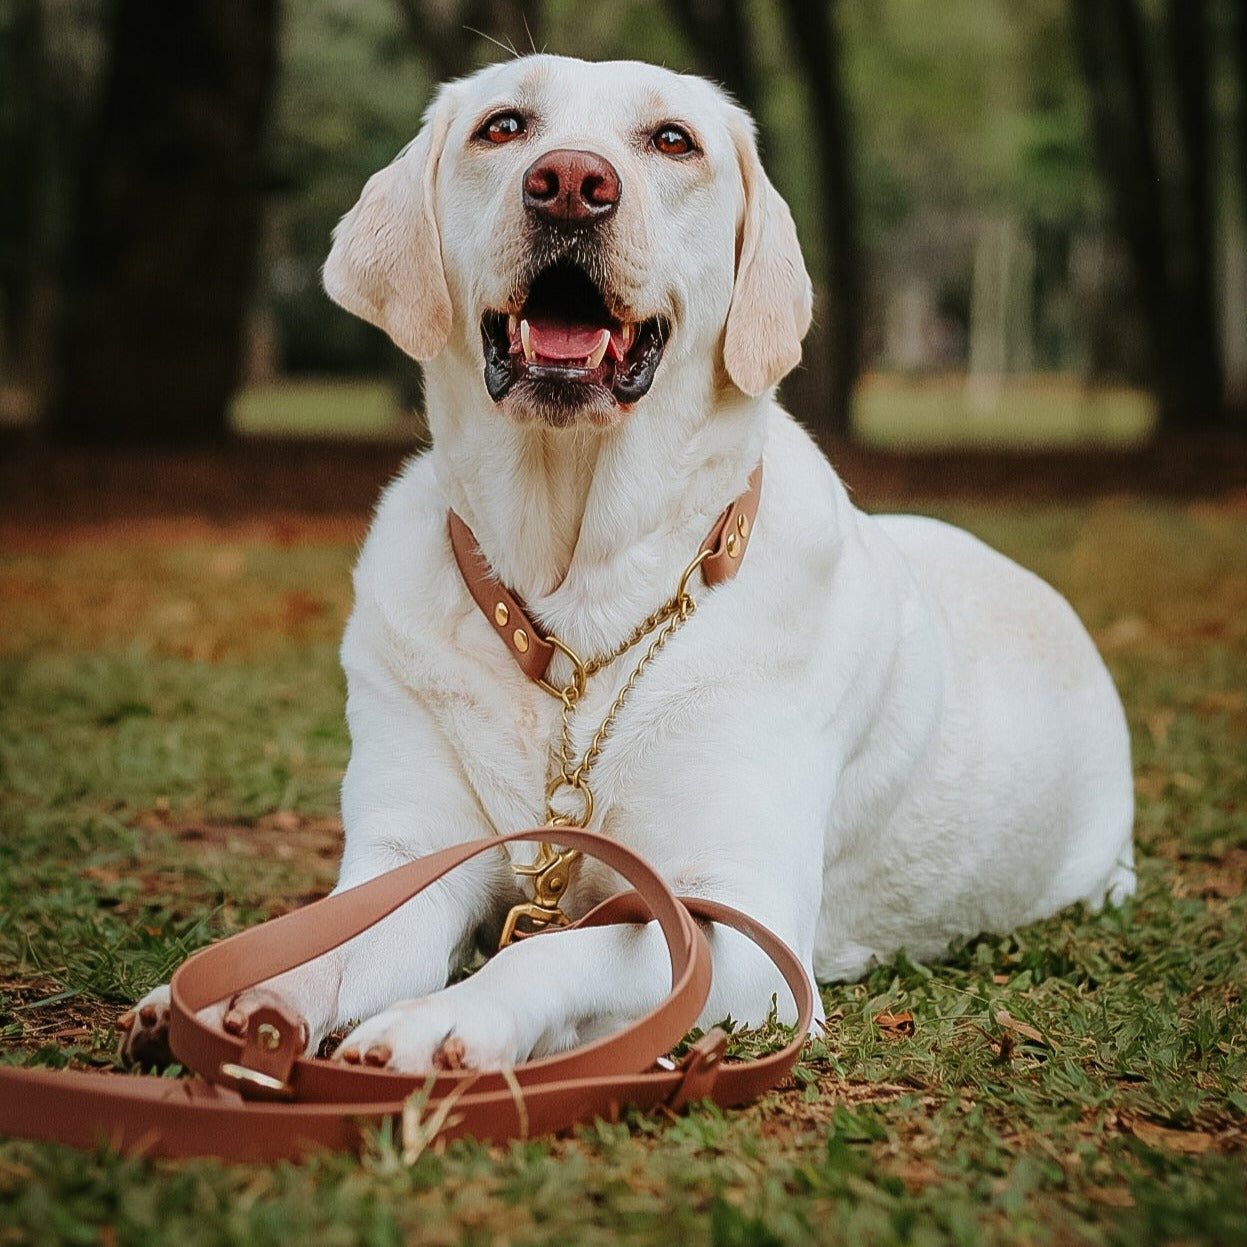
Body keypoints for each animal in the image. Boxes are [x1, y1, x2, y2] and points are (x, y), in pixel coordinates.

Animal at [124, 53, 1132, 1072]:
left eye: (673, 140)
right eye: (502, 125)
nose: (570, 182)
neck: (576, 606)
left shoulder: (741, 915)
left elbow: (568, 947)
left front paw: (443, 1019)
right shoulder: (409, 856)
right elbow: (331, 943)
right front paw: (236, 995)